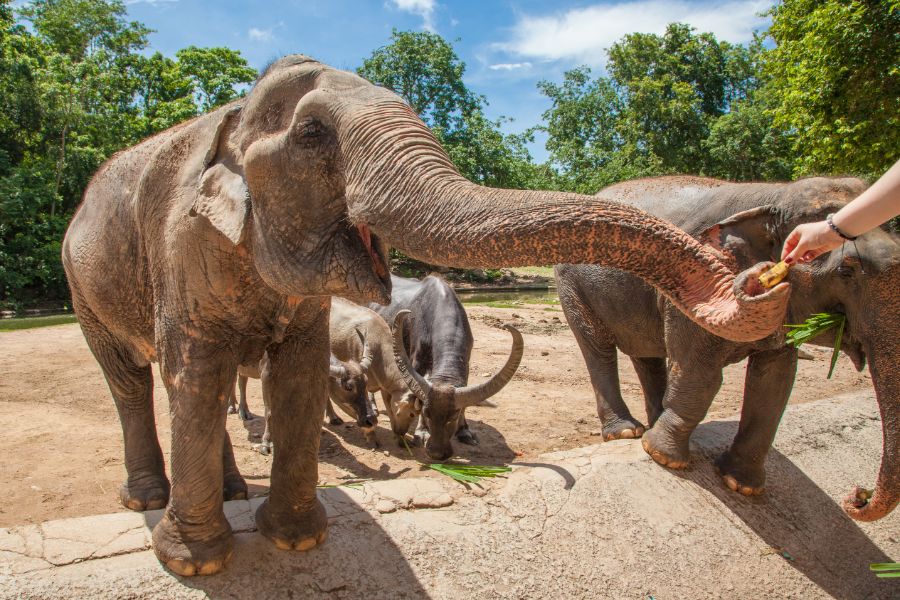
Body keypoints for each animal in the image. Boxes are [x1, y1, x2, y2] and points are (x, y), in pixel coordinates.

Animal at [63, 57, 792, 576]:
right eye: (312, 133)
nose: (763, 279)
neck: (233, 115)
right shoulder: (181, 244)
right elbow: (198, 367)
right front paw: (196, 564)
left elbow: (297, 371)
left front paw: (296, 540)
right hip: (80, 282)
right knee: (135, 381)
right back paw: (148, 501)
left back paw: (234, 491)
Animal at [556, 175, 900, 520]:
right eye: (847, 271)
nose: (858, 496)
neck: (776, 195)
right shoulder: (692, 282)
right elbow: (699, 372)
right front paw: (664, 456)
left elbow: (775, 380)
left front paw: (741, 485)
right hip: (571, 285)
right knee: (598, 349)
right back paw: (627, 433)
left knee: (647, 355)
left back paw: (652, 424)